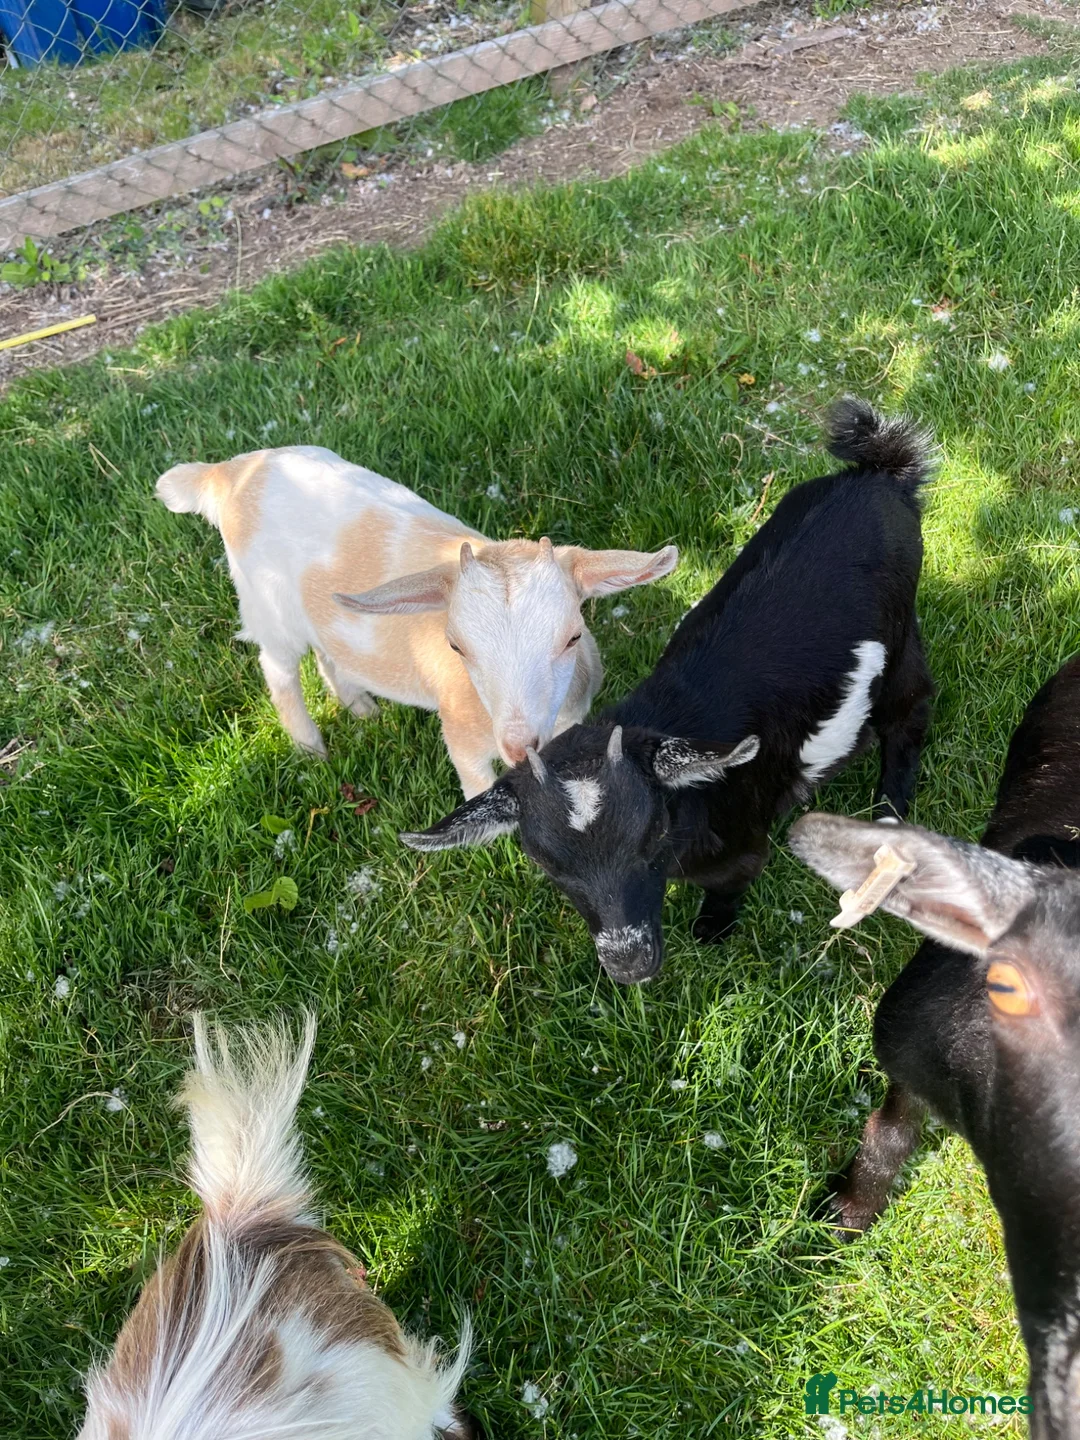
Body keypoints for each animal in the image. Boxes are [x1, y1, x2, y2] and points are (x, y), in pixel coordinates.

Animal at [156, 446, 677, 797]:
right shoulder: (463, 738)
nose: (519, 747)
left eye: (572, 637)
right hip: (265, 603)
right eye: (456, 647)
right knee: (277, 667)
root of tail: (229, 472)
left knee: (328, 650)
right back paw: (310, 747)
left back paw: (361, 708)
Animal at [401, 399, 935, 983]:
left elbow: (732, 884)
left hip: (900, 639)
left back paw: (889, 809)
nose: (630, 964)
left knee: (912, 709)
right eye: (545, 863)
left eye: (652, 833)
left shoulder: (742, 849)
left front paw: (712, 930)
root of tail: (880, 473)